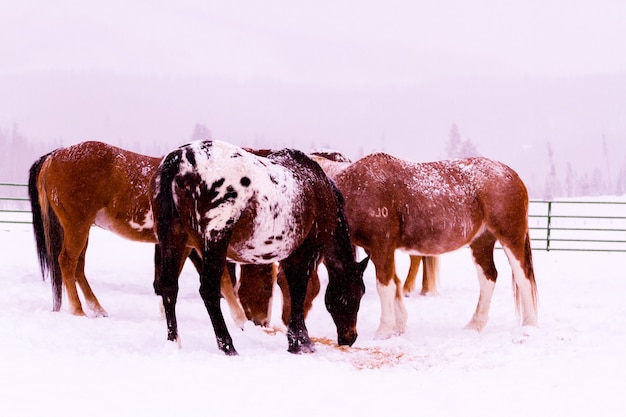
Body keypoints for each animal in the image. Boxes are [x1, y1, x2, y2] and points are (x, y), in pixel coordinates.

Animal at [27, 140, 246, 324]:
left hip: (82, 229)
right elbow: (223, 278)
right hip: (77, 226)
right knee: (67, 262)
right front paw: (241, 319)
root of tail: (54, 156)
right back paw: (78, 310)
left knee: (78, 267)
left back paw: (96, 308)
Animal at [149, 140, 368, 354]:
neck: (318, 189)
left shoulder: (291, 255)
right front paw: (301, 342)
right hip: (215, 240)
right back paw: (228, 346)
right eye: (359, 292)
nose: (350, 337)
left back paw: (173, 342)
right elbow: (298, 290)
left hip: (173, 238)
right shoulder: (307, 252)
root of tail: (179, 161)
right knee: (208, 290)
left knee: (169, 287)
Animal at [316, 152, 536, 338]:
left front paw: (384, 330)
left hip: (511, 237)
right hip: (482, 241)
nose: (347, 338)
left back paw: (529, 326)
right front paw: (399, 326)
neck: (359, 189)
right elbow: (395, 283)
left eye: (345, 298)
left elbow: (385, 286)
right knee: (488, 277)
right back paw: (475, 324)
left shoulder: (381, 246)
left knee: (523, 277)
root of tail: (511, 174)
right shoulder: (377, 250)